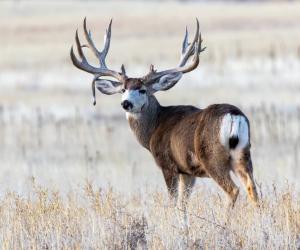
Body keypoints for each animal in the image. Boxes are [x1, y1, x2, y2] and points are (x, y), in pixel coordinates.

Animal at [69, 18, 258, 213]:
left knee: (233, 189)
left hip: (213, 157)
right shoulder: (187, 171)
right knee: (252, 188)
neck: (155, 127)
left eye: (143, 90)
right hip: (243, 154)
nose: (126, 103)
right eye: (123, 90)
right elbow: (183, 205)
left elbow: (173, 202)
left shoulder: (168, 164)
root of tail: (233, 115)